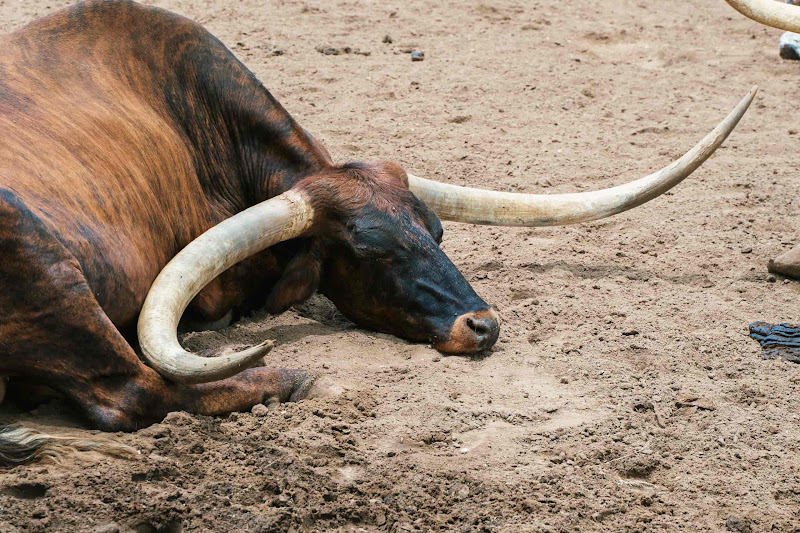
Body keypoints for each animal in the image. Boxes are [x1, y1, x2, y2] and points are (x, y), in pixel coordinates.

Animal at [0, 0, 754, 464]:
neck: (192, 121)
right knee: (134, 390)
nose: (483, 325)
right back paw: (288, 374)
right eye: (367, 249)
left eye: (437, 232)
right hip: (48, 264)